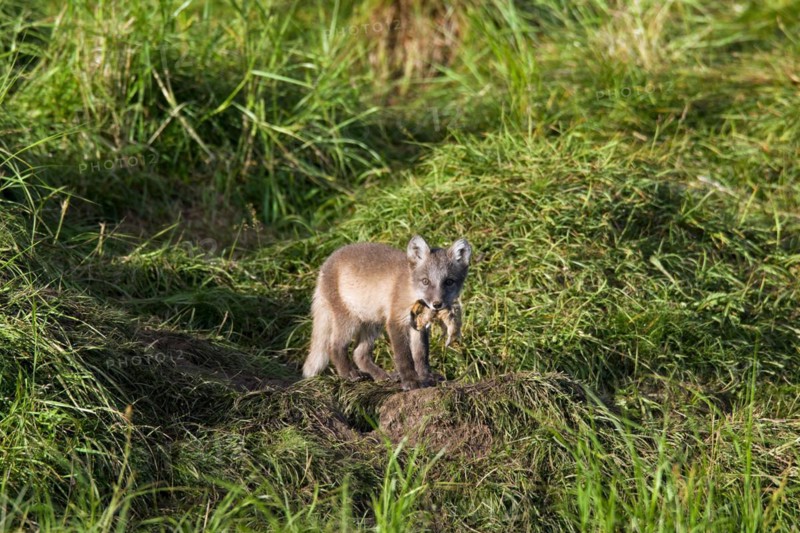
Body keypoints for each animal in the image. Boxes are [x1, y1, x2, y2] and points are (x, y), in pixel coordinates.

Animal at [302, 235, 472, 390]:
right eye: (425, 281)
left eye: (449, 282)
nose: (437, 304)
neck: (411, 289)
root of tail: (324, 266)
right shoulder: (396, 322)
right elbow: (404, 356)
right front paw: (411, 381)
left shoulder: (419, 326)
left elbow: (421, 354)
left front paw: (426, 376)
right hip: (350, 321)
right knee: (334, 347)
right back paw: (350, 374)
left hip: (372, 324)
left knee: (359, 354)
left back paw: (382, 376)